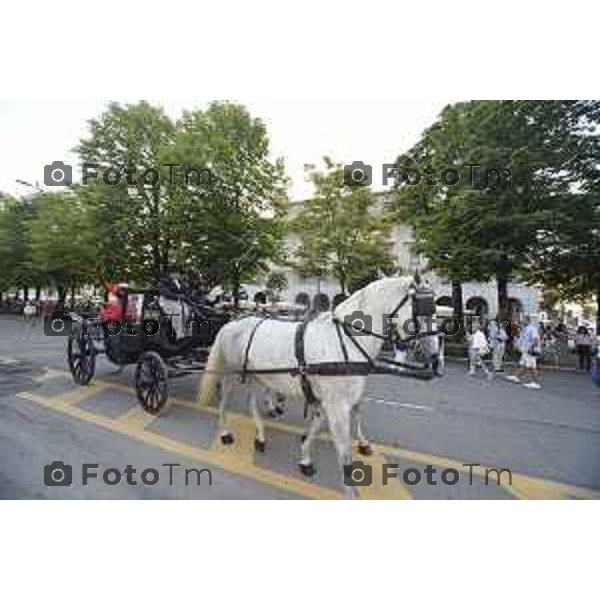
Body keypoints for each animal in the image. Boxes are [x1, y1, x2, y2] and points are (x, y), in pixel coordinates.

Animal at [197, 276, 440, 496]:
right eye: (422, 309)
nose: (436, 359)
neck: (346, 341)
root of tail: (232, 322)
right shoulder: (337, 406)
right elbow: (344, 453)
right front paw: (349, 490)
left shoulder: (331, 400)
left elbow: (320, 424)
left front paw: (305, 457)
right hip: (232, 373)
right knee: (225, 399)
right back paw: (225, 432)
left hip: (258, 376)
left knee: (253, 404)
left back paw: (260, 435)